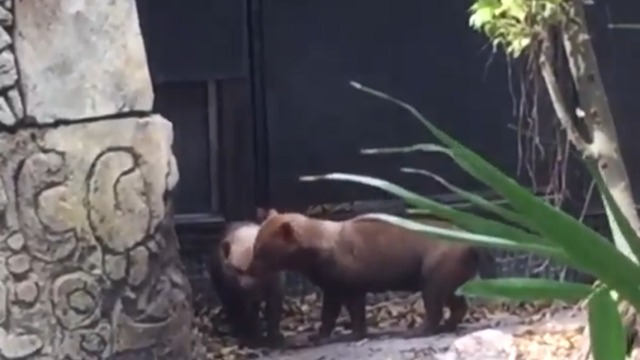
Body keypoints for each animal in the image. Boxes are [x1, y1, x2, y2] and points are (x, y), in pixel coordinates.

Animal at [209, 210, 284, 348]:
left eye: (256, 268)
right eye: (237, 269)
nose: (246, 286)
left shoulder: (275, 282)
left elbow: (274, 307)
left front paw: (274, 337)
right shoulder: (236, 288)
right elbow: (248, 312)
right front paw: (255, 337)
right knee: (232, 307)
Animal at [245, 211, 496, 344]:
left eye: (260, 250)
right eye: (255, 245)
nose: (248, 269)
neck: (325, 244)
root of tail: (472, 242)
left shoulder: (350, 287)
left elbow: (351, 314)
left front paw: (349, 334)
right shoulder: (333, 288)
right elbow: (332, 315)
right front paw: (322, 335)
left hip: (433, 278)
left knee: (435, 309)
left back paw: (416, 331)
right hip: (449, 280)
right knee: (458, 305)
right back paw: (447, 326)